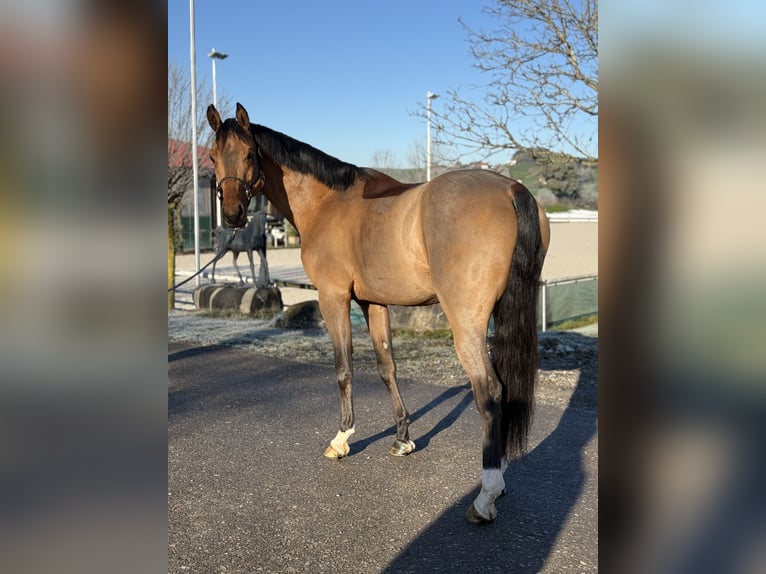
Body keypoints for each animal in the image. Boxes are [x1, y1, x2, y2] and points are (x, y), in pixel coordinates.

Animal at [207, 103, 548, 528]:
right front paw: (402, 439)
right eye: (212, 157)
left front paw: (341, 439)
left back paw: (486, 495)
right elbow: (388, 368)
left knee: (490, 391)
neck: (328, 204)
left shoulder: (333, 297)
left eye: (251, 154)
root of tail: (510, 189)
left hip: (466, 324)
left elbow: (344, 368)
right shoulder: (374, 303)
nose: (233, 213)